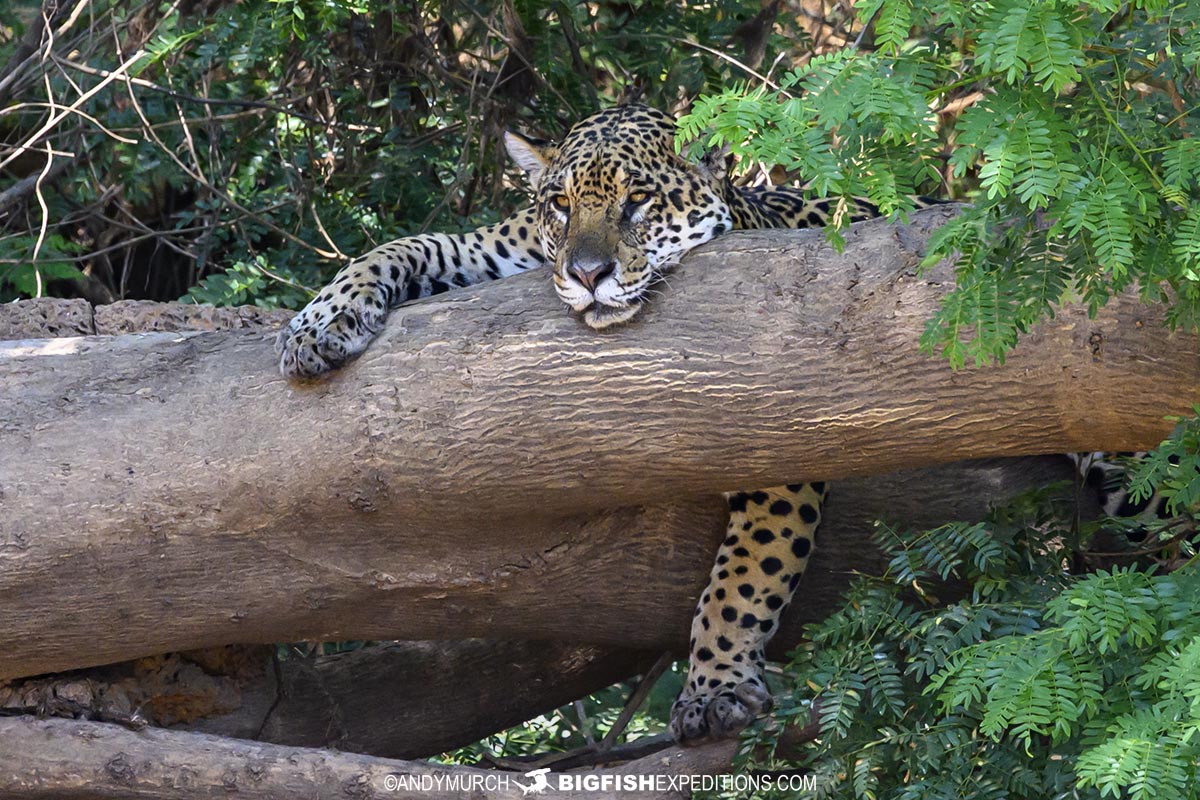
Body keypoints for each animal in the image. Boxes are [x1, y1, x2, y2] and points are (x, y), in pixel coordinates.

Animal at [277, 103, 890, 745]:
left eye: (639, 200)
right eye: (561, 205)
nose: (589, 274)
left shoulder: (780, 443)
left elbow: (743, 579)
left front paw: (715, 686)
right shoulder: (492, 247)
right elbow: (406, 244)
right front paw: (321, 323)